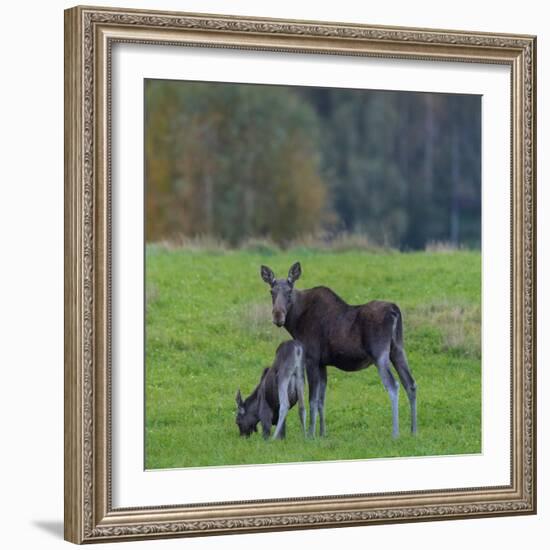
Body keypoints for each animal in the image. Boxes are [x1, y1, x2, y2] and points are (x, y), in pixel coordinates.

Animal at [260, 264, 418, 440]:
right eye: (271, 291)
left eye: (289, 291)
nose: (278, 316)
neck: (295, 321)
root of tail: (395, 311)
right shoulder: (323, 363)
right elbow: (321, 400)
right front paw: (322, 433)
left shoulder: (311, 359)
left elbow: (312, 400)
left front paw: (310, 435)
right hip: (397, 350)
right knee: (410, 384)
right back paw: (414, 431)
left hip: (380, 355)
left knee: (393, 385)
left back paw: (395, 433)